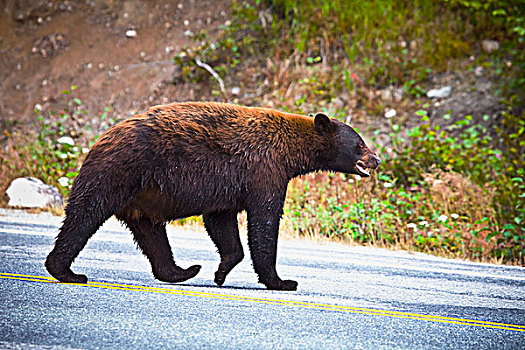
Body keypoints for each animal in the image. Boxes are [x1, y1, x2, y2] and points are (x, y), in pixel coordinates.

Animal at [44, 101, 380, 290]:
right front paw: (282, 282)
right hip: (117, 172)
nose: (376, 159)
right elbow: (264, 221)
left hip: (140, 197)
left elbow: (222, 223)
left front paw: (221, 271)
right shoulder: (265, 169)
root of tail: (100, 139)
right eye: (360, 143)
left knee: (151, 233)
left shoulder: (228, 186)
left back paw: (181, 271)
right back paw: (66, 271)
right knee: (84, 216)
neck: (290, 151)